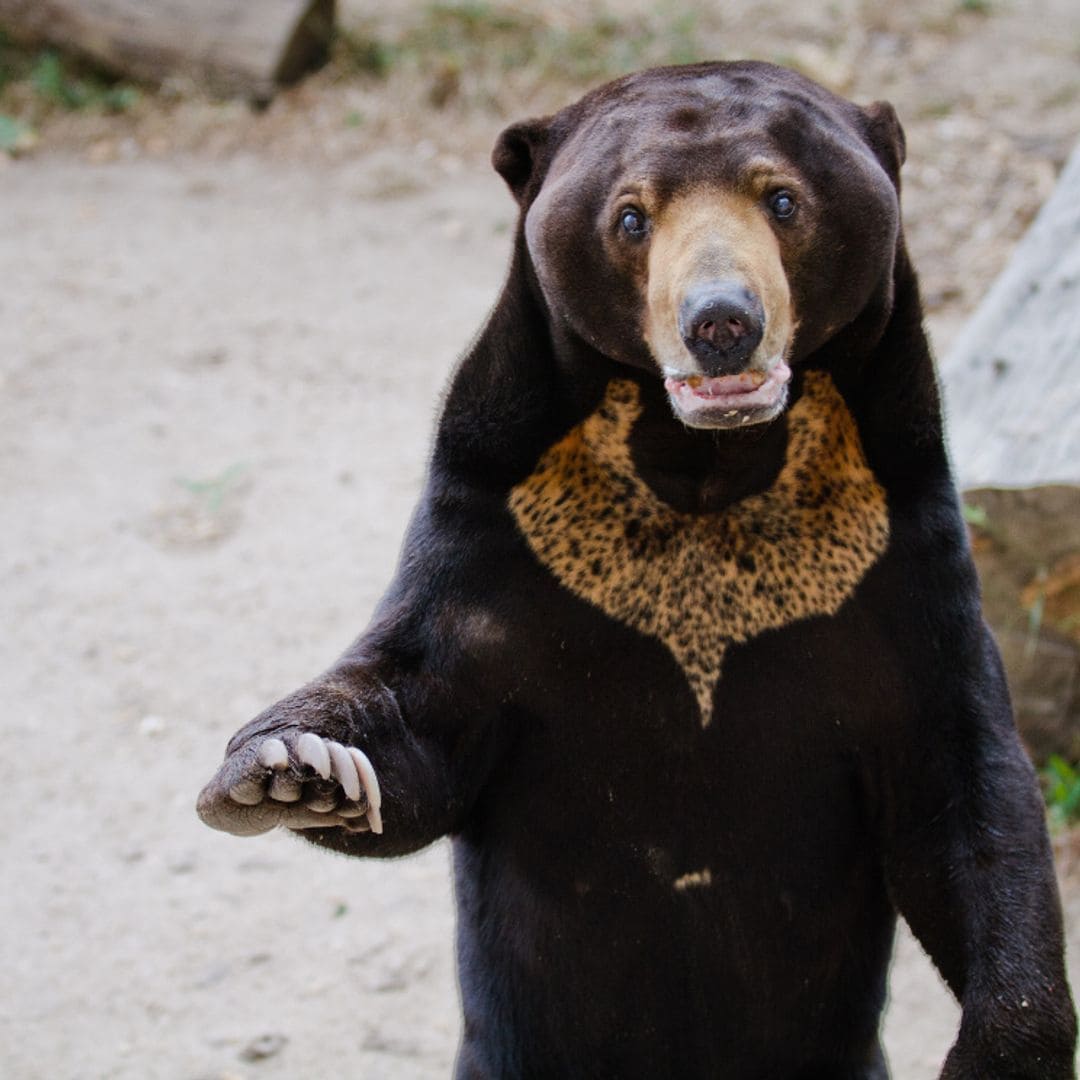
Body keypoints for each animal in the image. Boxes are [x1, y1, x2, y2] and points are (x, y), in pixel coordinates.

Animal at [198, 63, 1075, 1075]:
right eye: (629, 216)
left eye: (783, 198)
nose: (723, 323)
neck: (703, 466)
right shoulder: (499, 534)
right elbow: (421, 721)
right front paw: (295, 767)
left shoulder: (897, 557)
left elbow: (966, 795)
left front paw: (1003, 1048)